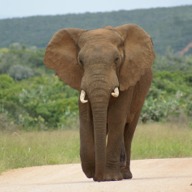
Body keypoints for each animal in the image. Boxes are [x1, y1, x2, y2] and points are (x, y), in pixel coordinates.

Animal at [43, 24, 154, 182]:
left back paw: (125, 175)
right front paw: (94, 172)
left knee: (128, 129)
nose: (98, 177)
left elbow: (116, 117)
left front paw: (111, 178)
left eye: (117, 59)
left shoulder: (127, 77)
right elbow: (86, 119)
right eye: (81, 61)